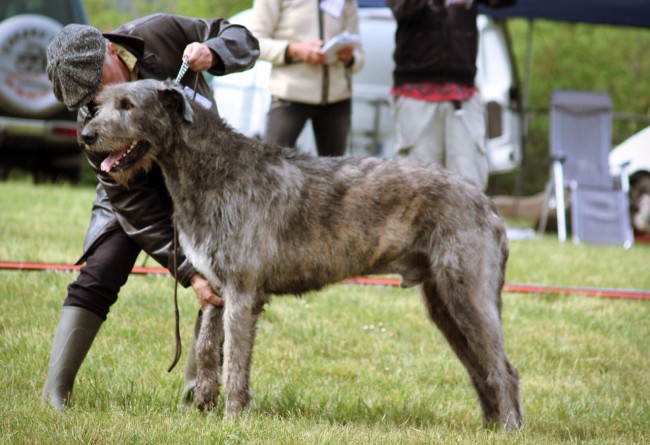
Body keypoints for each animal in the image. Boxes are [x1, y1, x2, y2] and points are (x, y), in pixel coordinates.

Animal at [81, 78, 524, 428]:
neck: (213, 170)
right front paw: (202, 410)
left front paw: (232, 418)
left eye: (128, 105)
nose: (86, 136)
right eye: (102, 102)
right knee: (479, 367)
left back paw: (508, 428)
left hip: (467, 293)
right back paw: (491, 424)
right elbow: (208, 349)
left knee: (503, 368)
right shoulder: (214, 287)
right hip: (443, 303)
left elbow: (235, 359)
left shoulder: (243, 292)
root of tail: (487, 202)